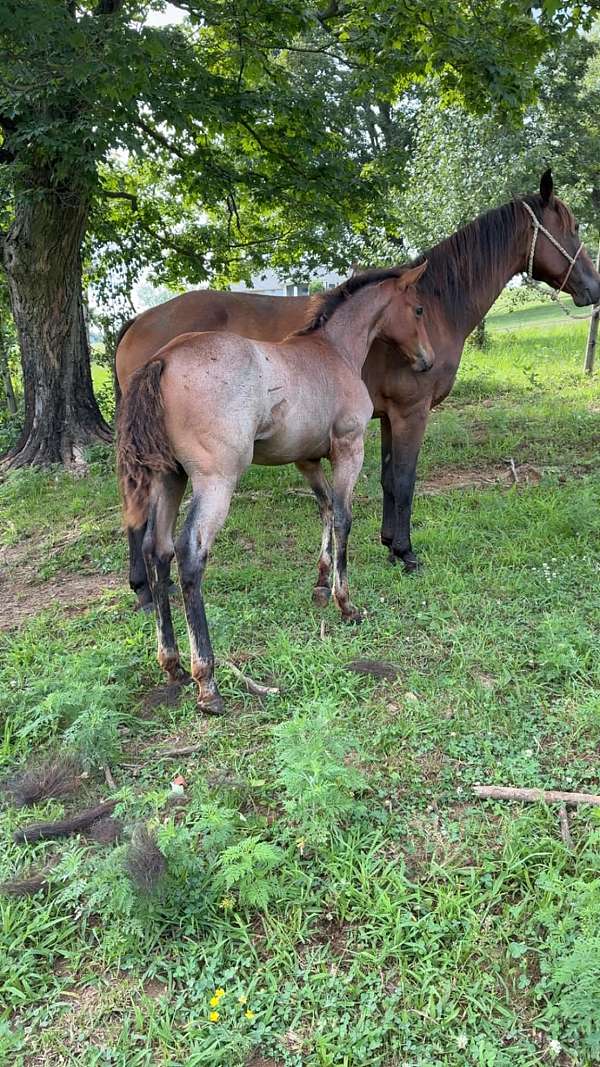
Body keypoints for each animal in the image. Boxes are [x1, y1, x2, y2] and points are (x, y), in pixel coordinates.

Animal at [116, 170, 600, 610]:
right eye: (573, 227)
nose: (593, 288)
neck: (437, 306)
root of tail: (139, 323)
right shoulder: (411, 411)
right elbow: (403, 480)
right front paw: (405, 553)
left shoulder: (386, 417)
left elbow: (386, 480)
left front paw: (387, 544)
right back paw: (144, 591)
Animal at [117, 263, 433, 713]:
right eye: (419, 309)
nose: (427, 360)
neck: (334, 351)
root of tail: (162, 359)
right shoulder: (349, 447)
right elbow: (343, 518)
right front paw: (345, 603)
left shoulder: (306, 459)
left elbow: (324, 510)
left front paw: (320, 583)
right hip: (216, 481)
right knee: (190, 554)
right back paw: (207, 682)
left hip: (169, 478)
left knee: (156, 550)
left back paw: (172, 663)